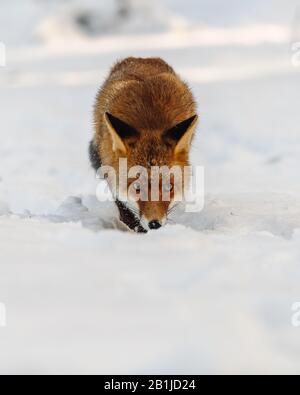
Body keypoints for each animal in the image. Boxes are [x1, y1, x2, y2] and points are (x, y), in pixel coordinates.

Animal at [90, 57, 198, 234]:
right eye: (137, 188)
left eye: (169, 187)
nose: (154, 224)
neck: (149, 124)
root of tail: (142, 58)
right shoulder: (108, 160)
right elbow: (122, 203)